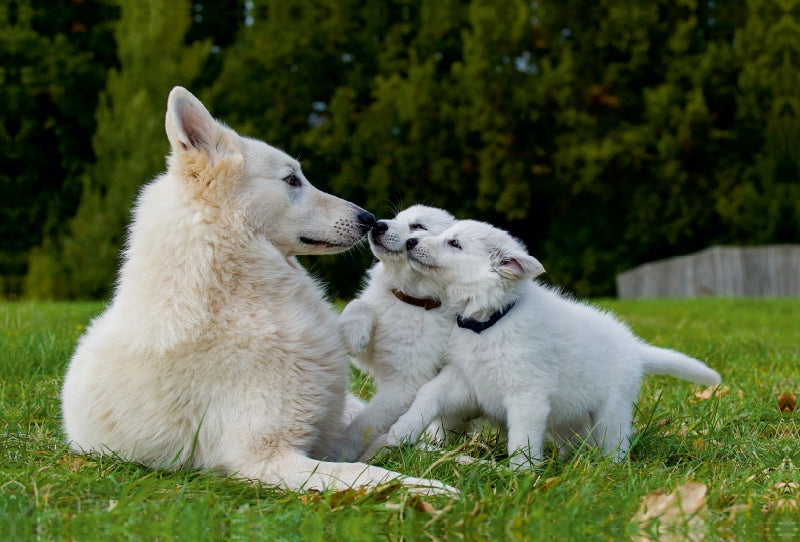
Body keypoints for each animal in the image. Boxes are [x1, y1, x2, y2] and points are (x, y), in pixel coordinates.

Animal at [60, 86, 454, 498]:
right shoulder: (267, 459)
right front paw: (428, 489)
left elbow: (378, 446)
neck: (233, 294)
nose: (369, 219)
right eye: (292, 180)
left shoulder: (325, 434)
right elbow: (367, 474)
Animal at [388, 221, 724, 472]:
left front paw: (519, 475)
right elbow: (428, 394)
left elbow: (521, 439)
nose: (410, 242)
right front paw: (400, 431)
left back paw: (607, 470)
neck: (491, 320)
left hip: (611, 412)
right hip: (568, 420)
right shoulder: (464, 376)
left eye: (455, 243)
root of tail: (635, 348)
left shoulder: (527, 394)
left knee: (614, 443)